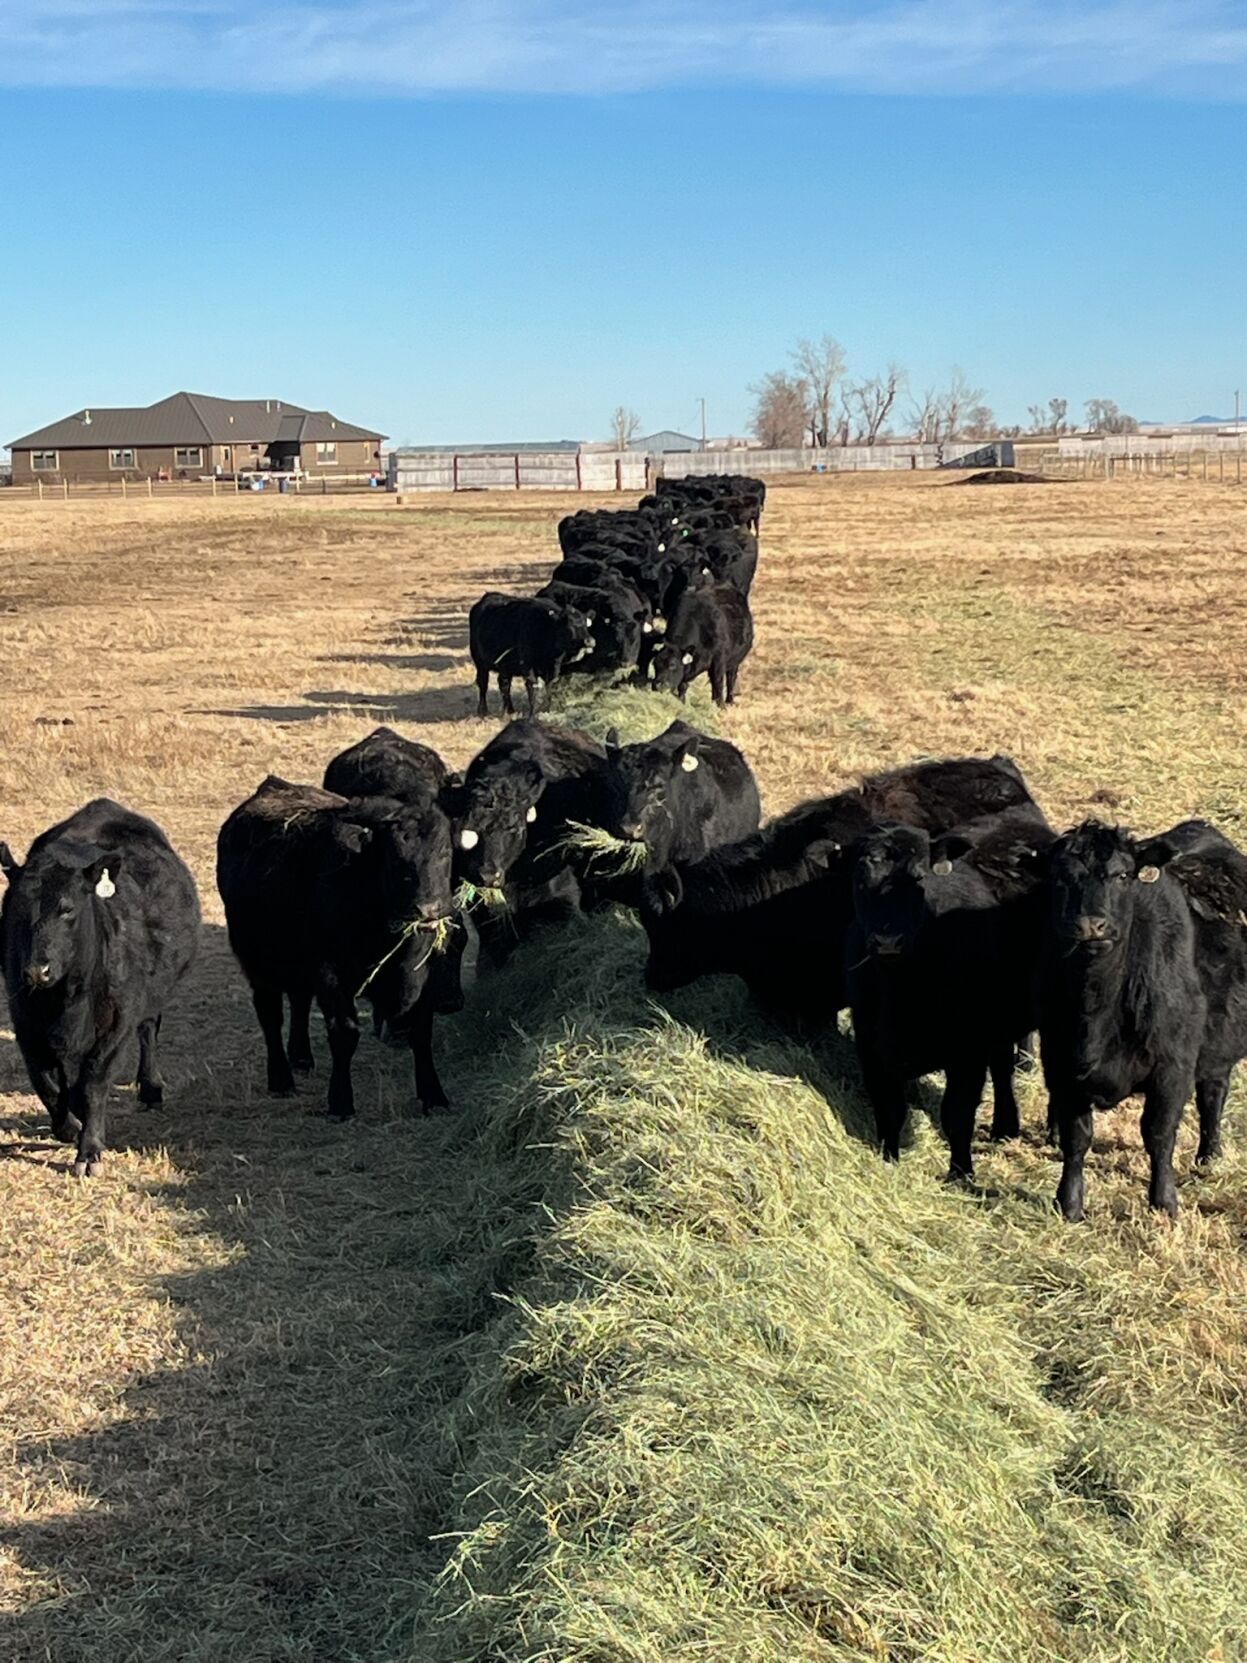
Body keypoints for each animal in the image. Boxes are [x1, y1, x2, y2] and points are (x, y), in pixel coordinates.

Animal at [0, 799, 200, 1177]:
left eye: (67, 909)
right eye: (15, 908)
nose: (37, 971)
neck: (65, 999)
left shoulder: (116, 1023)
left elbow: (93, 1084)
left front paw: (89, 1152)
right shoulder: (25, 1022)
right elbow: (44, 1079)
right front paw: (67, 1126)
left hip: (150, 998)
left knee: (148, 1030)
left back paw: (151, 1089)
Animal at [217, 776, 455, 1119]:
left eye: (445, 852)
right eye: (395, 859)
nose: (428, 909)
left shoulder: (423, 974)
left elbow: (421, 1031)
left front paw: (434, 1096)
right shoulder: (330, 973)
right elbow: (344, 1032)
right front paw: (340, 1101)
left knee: (300, 999)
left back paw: (301, 1057)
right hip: (257, 960)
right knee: (270, 1013)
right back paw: (281, 1079)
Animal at [846, 811, 1054, 1174]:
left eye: (919, 879)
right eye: (861, 880)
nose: (888, 942)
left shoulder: (967, 1049)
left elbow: (957, 1114)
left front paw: (961, 1173)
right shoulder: (870, 1044)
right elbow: (889, 1110)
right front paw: (889, 1162)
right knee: (1002, 1066)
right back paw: (1004, 1125)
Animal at [1038, 818, 1247, 1220]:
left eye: (1123, 875)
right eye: (1059, 878)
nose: (1091, 926)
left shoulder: (1172, 1067)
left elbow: (1159, 1133)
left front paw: (1164, 1202)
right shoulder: (1060, 1063)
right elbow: (1077, 1136)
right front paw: (1069, 1203)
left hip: (1218, 1044)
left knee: (1213, 1093)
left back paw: (1209, 1155)